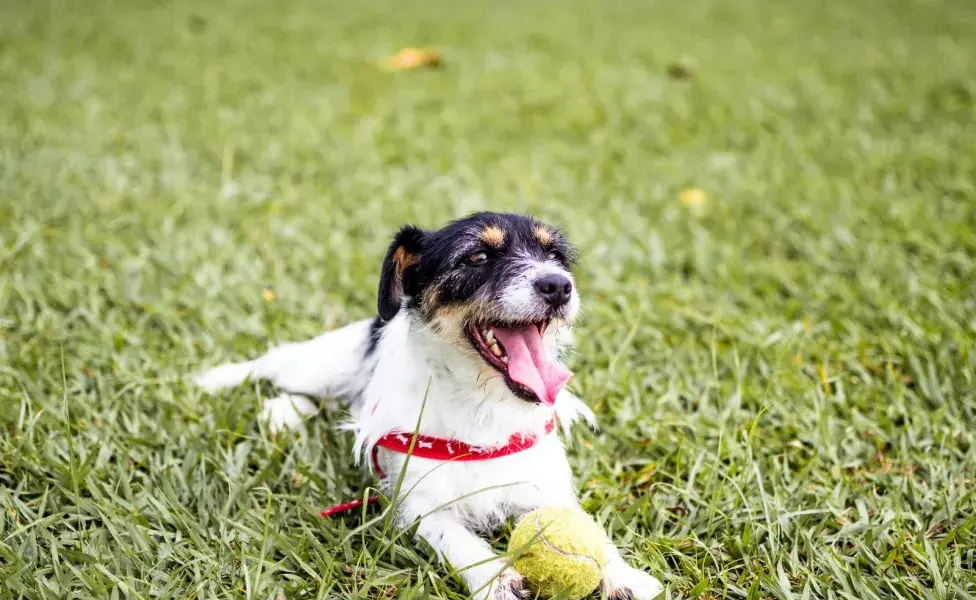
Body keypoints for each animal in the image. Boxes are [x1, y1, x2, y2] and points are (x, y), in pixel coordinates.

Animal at [196, 212, 664, 600]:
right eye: (477, 256)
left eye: (555, 255)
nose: (558, 285)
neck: (481, 404)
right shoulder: (421, 506)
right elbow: (459, 541)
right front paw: (494, 579)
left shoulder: (544, 489)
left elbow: (591, 532)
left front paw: (624, 575)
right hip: (321, 366)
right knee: (276, 363)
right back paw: (230, 387)